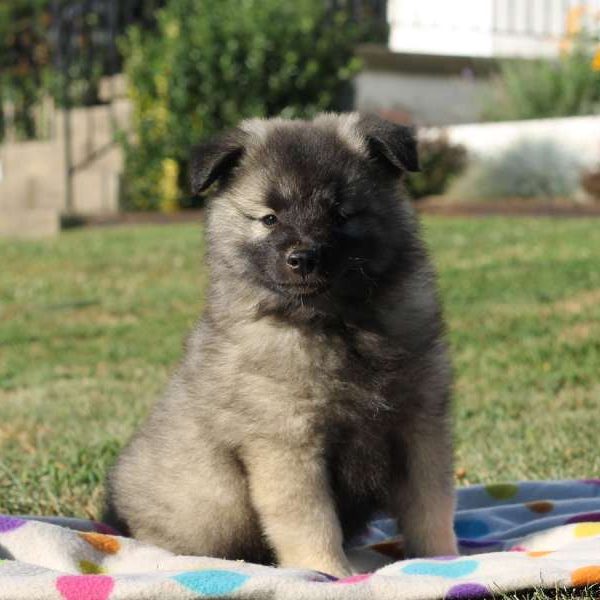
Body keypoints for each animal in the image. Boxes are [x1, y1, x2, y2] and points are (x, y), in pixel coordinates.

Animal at [105, 112, 458, 576]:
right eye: (269, 218)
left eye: (340, 215)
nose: (303, 258)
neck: (334, 323)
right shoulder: (287, 443)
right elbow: (311, 522)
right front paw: (329, 573)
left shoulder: (420, 428)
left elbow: (432, 507)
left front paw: (444, 561)